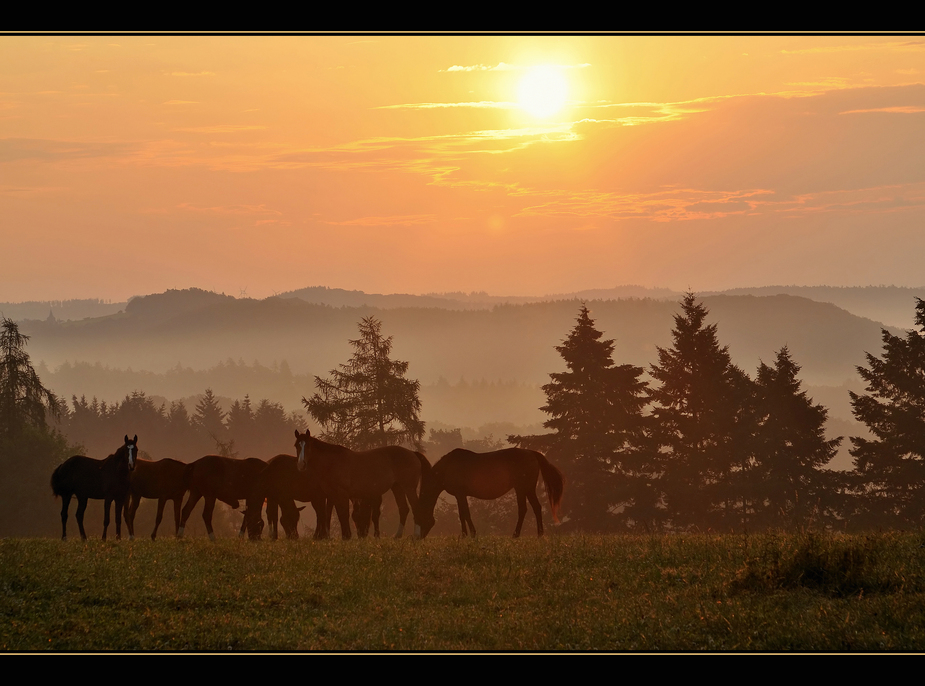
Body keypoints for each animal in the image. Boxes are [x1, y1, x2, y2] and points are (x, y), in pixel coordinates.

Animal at [292, 430, 430, 544]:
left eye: (308, 445)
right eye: (296, 445)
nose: (301, 465)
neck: (332, 462)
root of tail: (413, 453)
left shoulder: (342, 494)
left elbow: (344, 514)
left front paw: (347, 536)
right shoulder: (332, 495)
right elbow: (338, 514)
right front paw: (344, 536)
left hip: (409, 488)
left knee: (416, 508)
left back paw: (416, 536)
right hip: (397, 488)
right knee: (403, 509)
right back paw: (397, 536)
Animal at [416, 448, 564, 540]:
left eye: (420, 518)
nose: (419, 537)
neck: (447, 468)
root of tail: (532, 453)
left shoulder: (460, 494)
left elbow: (465, 513)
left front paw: (471, 534)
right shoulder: (459, 495)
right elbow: (462, 514)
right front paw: (465, 534)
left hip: (523, 488)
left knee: (527, 508)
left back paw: (523, 534)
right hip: (525, 489)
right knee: (532, 508)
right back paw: (532, 534)